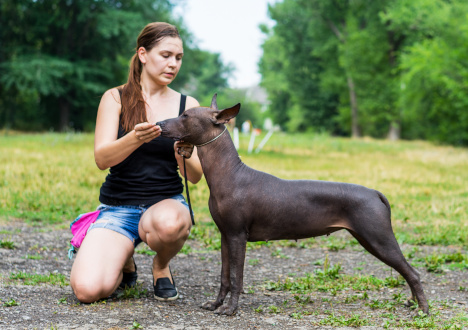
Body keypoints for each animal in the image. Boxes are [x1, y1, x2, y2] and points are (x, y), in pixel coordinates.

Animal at [156, 94, 428, 316]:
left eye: (185, 115)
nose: (158, 124)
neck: (229, 174)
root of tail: (375, 192)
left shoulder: (237, 236)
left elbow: (236, 277)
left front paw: (231, 309)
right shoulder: (226, 235)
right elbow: (224, 276)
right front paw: (216, 304)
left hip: (378, 238)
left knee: (412, 272)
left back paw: (422, 310)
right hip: (368, 238)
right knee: (407, 271)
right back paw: (414, 304)